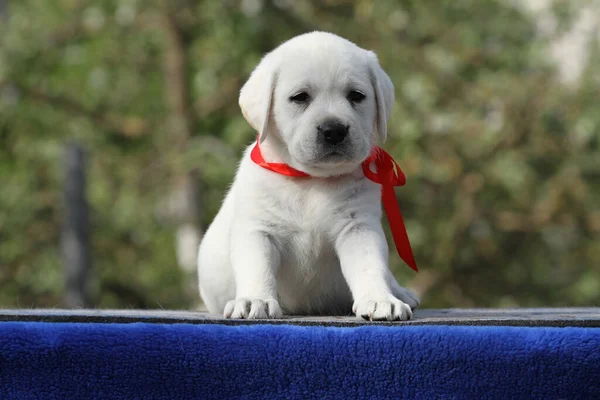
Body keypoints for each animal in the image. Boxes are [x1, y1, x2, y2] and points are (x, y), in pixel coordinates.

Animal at [197, 31, 418, 320]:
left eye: (356, 95)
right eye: (300, 97)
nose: (334, 130)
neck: (310, 181)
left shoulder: (358, 228)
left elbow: (370, 267)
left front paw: (380, 299)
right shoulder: (258, 230)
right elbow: (257, 267)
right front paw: (255, 300)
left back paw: (399, 292)